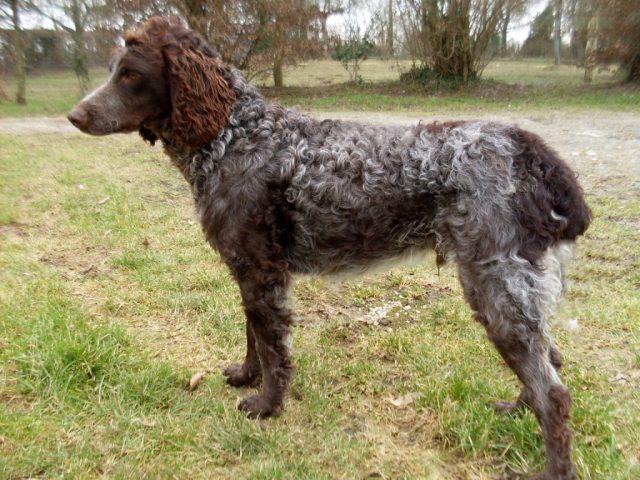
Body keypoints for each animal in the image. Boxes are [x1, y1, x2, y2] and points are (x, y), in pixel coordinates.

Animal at [69, 15, 592, 480]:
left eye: (131, 74)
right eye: (112, 69)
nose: (75, 115)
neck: (233, 134)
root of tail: (533, 154)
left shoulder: (261, 270)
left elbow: (274, 348)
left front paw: (267, 404)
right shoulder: (249, 268)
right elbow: (253, 336)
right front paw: (247, 375)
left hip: (495, 283)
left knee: (554, 393)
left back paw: (551, 467)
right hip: (514, 288)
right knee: (551, 364)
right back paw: (516, 409)